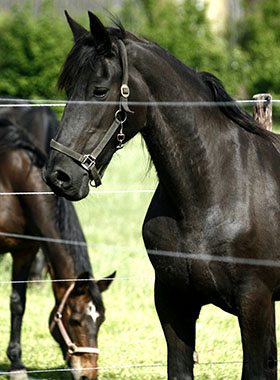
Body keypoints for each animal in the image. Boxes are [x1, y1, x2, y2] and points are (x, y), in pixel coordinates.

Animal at [0, 119, 115, 380]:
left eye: (101, 320)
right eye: (75, 321)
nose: (88, 375)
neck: (13, 186)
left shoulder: (26, 250)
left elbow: (17, 303)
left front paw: (17, 364)